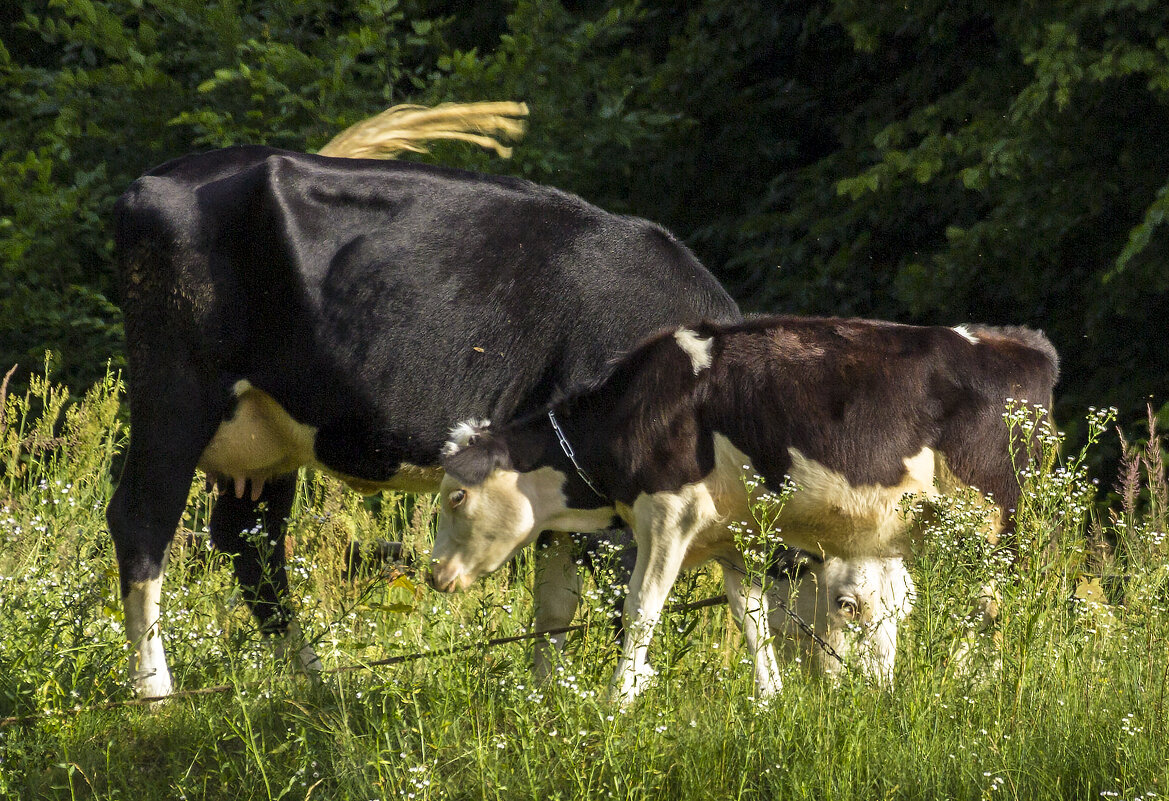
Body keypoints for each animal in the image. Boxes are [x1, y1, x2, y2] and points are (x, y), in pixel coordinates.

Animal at [102, 107, 738, 701]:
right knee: (142, 522)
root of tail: (159, 178)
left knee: (250, 541)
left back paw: (315, 684)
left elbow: (556, 600)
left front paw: (545, 698)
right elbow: (624, 597)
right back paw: (155, 693)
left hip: (267, 434)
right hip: (176, 391)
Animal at [430, 315, 1061, 701]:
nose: (435, 574)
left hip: (987, 520)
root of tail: (1020, 346)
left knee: (986, 610)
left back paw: (965, 686)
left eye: (456, 495)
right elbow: (750, 620)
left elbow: (641, 611)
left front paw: (616, 703)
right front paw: (770, 701)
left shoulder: (669, 515)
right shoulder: (730, 537)